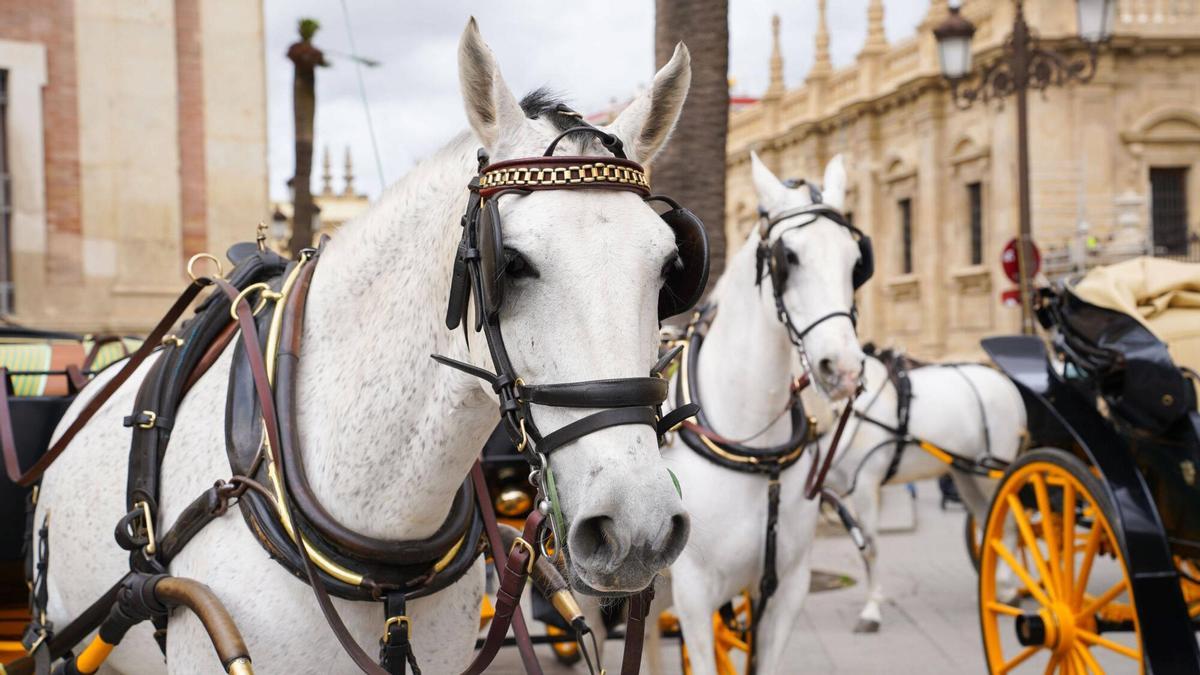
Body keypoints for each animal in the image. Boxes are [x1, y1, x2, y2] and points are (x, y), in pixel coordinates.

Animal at [622, 152, 869, 675]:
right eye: (788, 258)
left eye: (856, 263)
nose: (843, 369)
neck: (757, 453)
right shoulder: (696, 594)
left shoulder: (785, 590)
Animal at [823, 350, 1027, 633]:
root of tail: (1005, 382)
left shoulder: (864, 483)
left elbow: (869, 548)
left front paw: (871, 611)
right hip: (967, 474)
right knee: (989, 523)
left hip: (992, 471)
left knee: (1008, 523)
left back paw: (1006, 588)